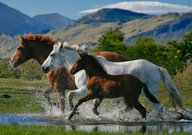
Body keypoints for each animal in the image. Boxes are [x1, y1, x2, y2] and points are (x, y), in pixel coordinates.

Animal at [41, 41, 184, 112]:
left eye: (52, 54)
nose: (43, 68)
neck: (86, 68)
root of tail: (157, 67)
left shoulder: (84, 89)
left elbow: (70, 94)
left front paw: (74, 111)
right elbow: (94, 105)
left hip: (148, 93)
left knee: (158, 107)